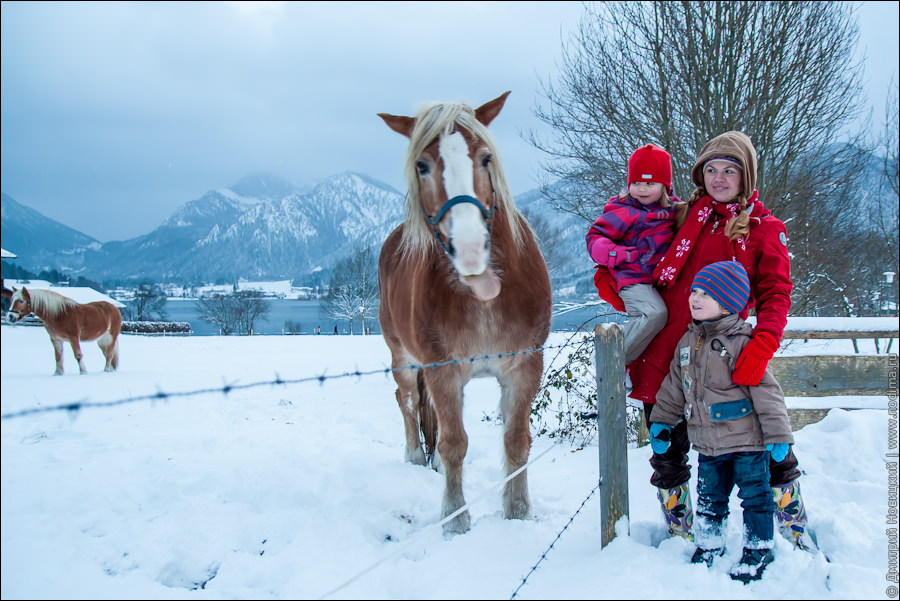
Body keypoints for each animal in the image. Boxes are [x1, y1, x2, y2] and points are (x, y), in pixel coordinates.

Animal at [377, 91, 553, 534]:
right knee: (407, 401)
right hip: (403, 358)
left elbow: (516, 441)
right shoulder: (443, 369)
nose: (470, 248)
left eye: (485, 157)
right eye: (421, 165)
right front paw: (455, 519)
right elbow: (454, 443)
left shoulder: (524, 366)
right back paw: (415, 456)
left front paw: (518, 511)